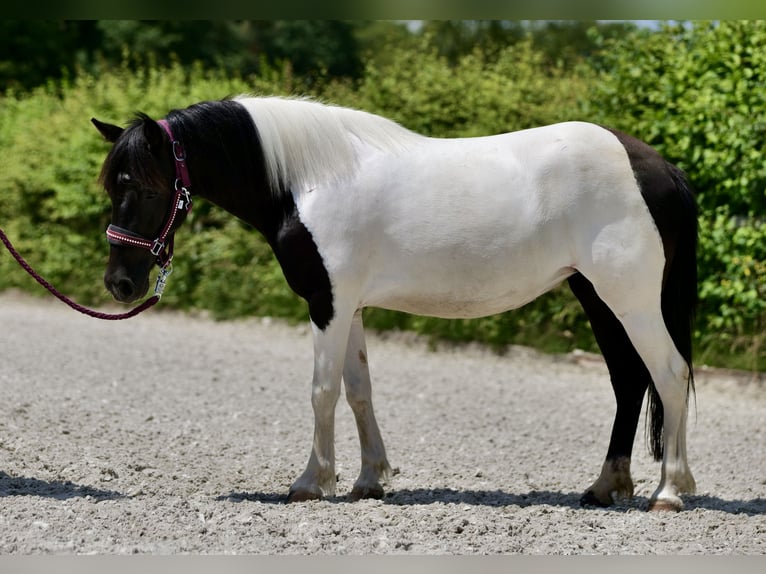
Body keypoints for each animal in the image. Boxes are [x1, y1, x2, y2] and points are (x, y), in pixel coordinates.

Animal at [93, 94, 700, 512]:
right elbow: (359, 391)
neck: (310, 181)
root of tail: (657, 166)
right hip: (596, 295)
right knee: (629, 381)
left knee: (668, 374)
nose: (120, 283)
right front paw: (368, 481)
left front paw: (311, 483)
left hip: (629, 297)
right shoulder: (351, 307)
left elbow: (322, 391)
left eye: (146, 187)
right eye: (112, 187)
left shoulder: (327, 304)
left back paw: (669, 491)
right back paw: (605, 486)